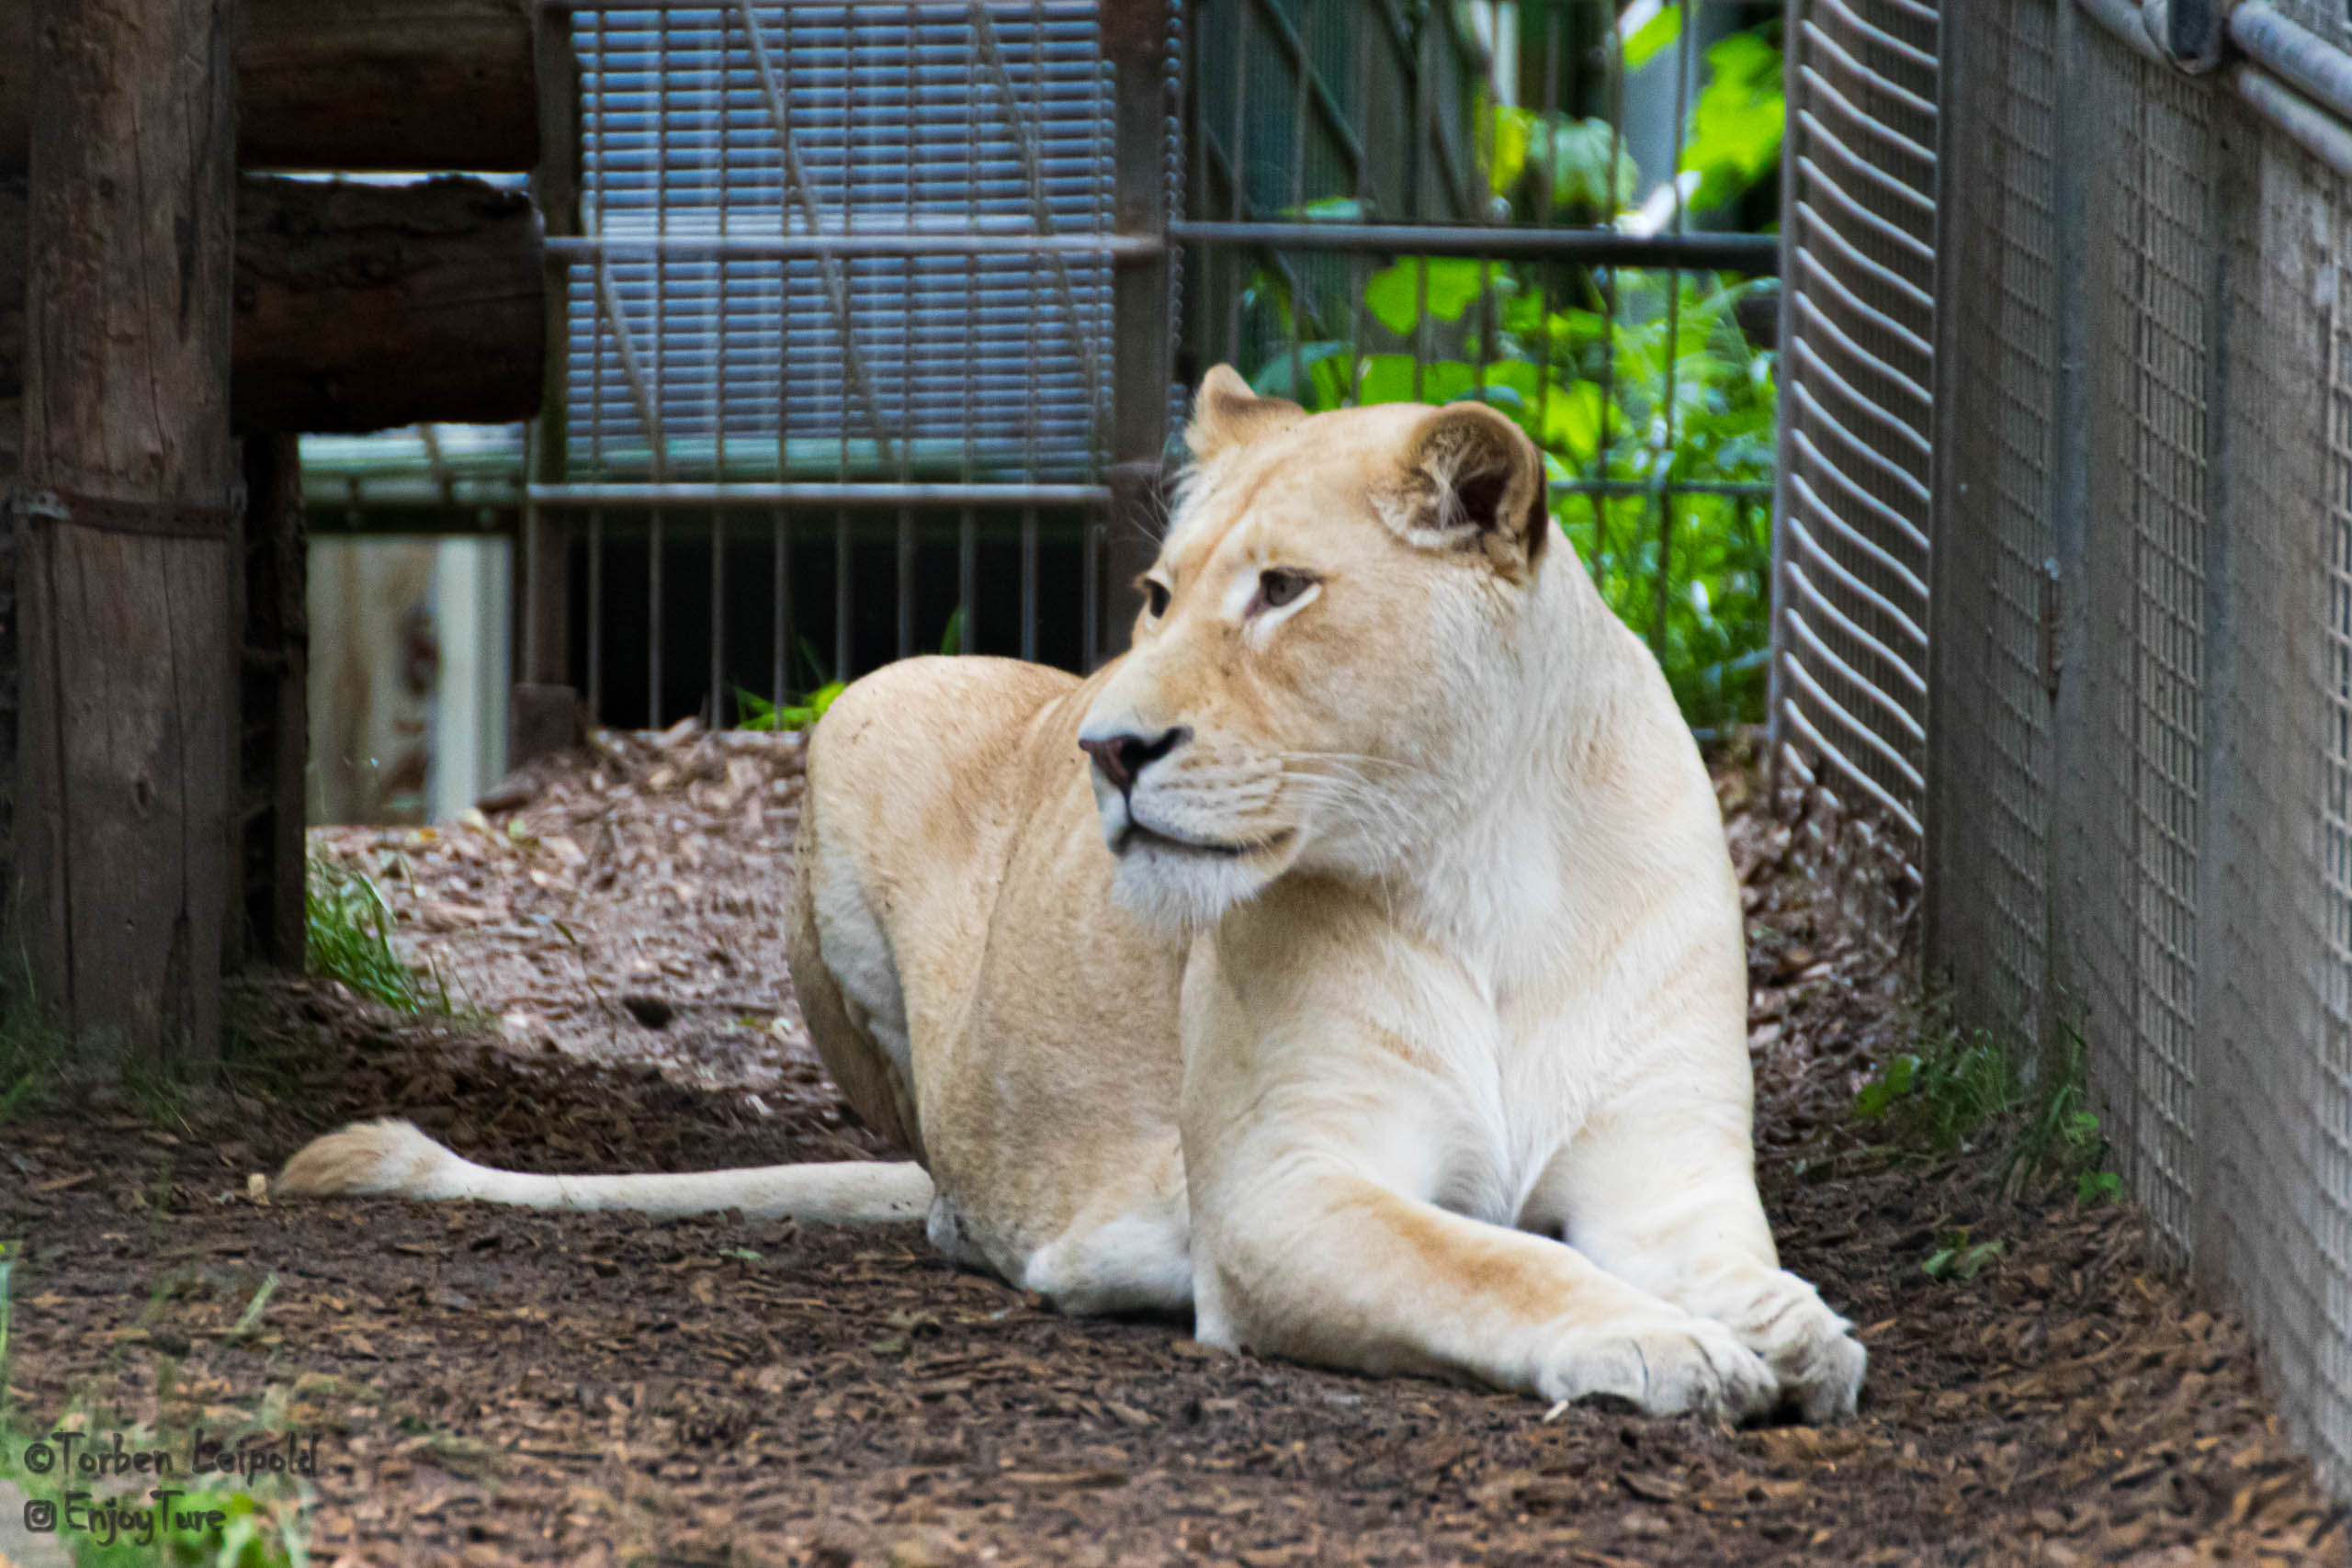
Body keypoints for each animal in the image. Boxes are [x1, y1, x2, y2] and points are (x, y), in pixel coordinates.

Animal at [281, 368, 1868, 1423]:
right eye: (1159, 596)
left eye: (1285, 588)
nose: (1106, 745)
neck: (1487, 855)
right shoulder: (1283, 1192)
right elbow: (1497, 1262)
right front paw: (1670, 1347)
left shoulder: (1666, 1166)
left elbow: (1737, 1265)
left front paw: (1789, 1330)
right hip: (870, 712)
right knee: (945, 1186)